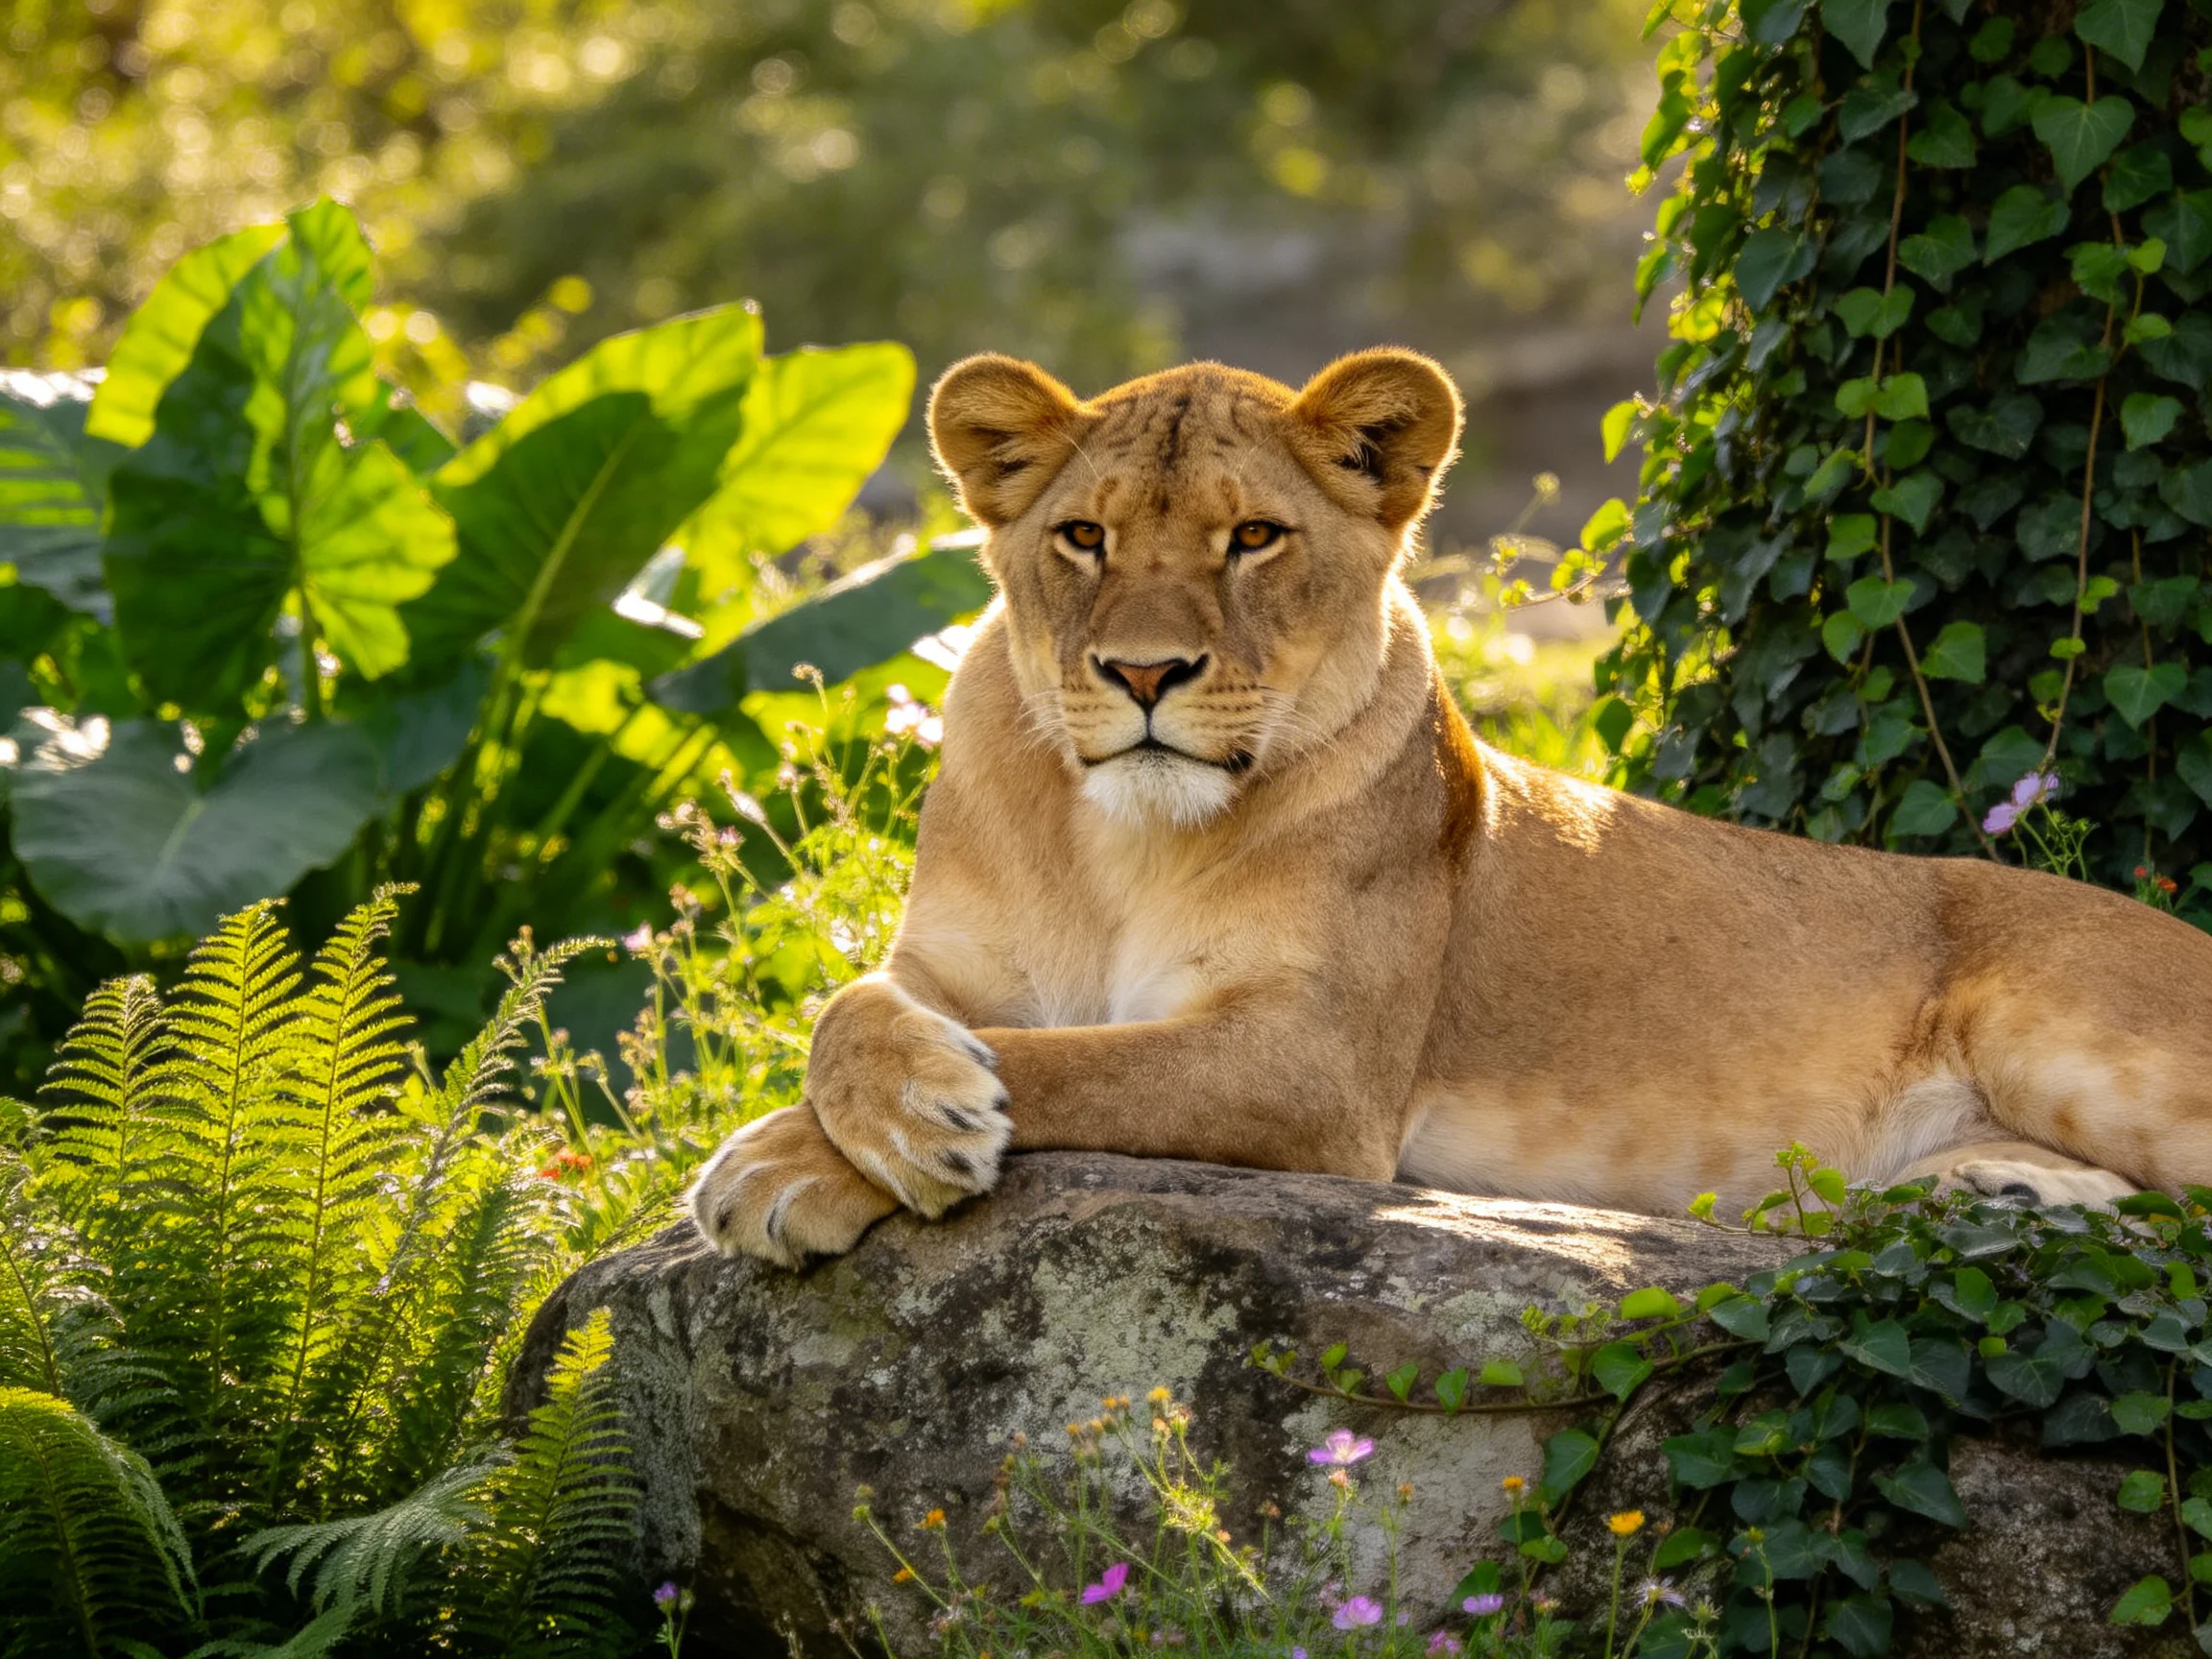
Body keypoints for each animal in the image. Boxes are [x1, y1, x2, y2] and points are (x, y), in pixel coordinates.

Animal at [691, 346, 2212, 1267]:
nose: (1143, 673)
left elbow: (1076, 1064)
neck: (1117, 836)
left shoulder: (1315, 1063)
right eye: (1084, 537)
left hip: (2065, 1030)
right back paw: (1996, 1190)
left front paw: (794, 1161)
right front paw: (844, 1125)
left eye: (1254, 539)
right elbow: (841, 1010)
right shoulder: (943, 965)